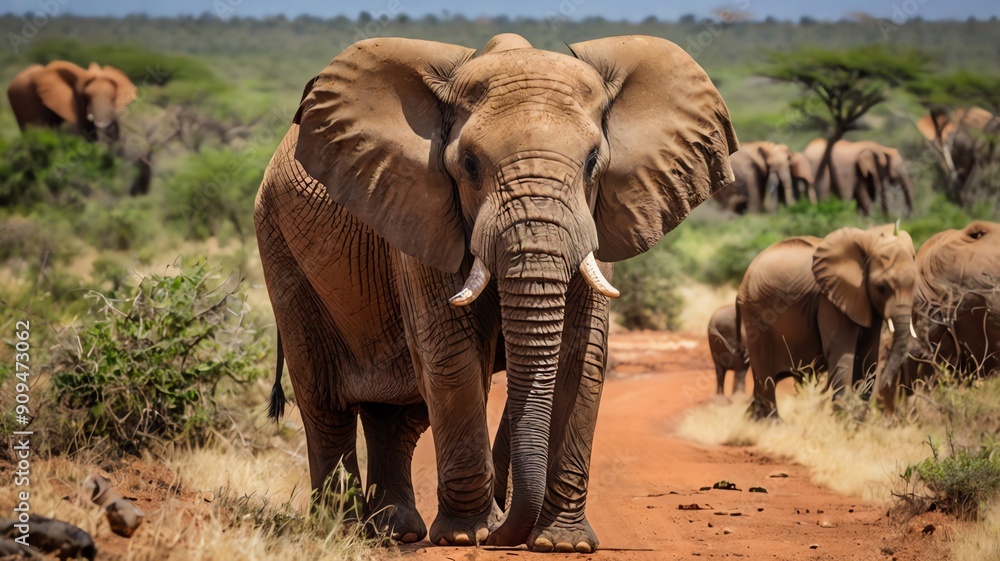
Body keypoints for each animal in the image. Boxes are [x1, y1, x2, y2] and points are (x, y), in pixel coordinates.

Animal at [254, 34, 737, 552]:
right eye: (468, 165)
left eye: (593, 163)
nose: (507, 530)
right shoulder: (421, 212)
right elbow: (453, 354)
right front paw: (470, 535)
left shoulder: (594, 224)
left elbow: (581, 354)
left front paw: (562, 544)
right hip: (279, 246)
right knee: (325, 404)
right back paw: (341, 529)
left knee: (399, 413)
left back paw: (394, 530)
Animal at [736, 224, 917, 419]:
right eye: (881, 287)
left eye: (915, 283)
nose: (890, 384)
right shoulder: (829, 300)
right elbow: (842, 352)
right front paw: (844, 418)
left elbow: (869, 355)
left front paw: (858, 417)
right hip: (755, 318)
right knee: (765, 381)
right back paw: (773, 421)